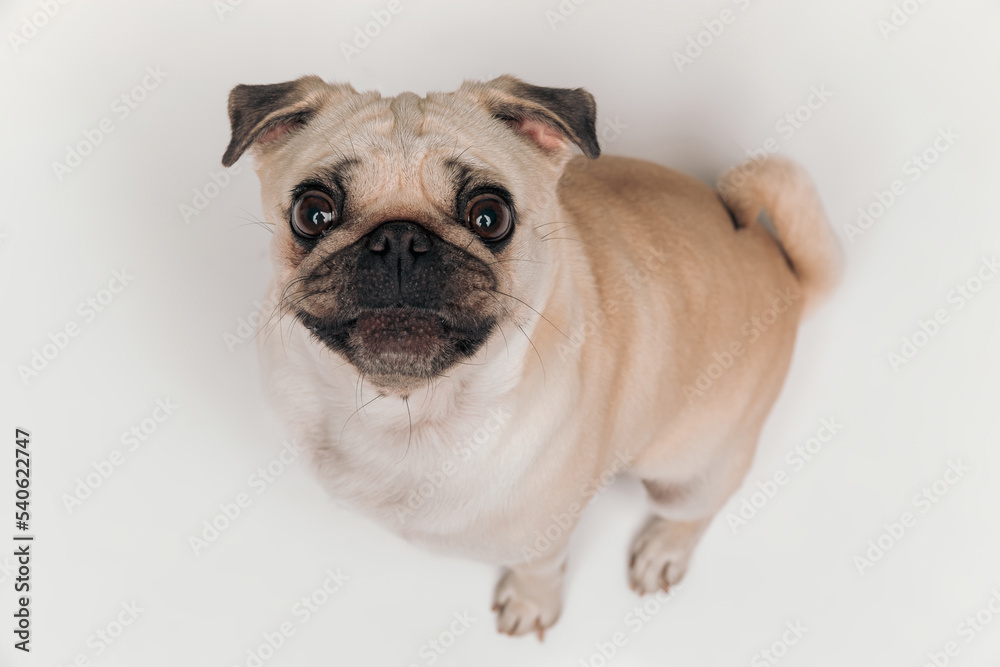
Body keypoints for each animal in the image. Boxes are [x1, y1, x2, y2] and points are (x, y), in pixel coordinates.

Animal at [223, 75, 840, 640]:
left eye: (489, 216)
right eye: (313, 213)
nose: (399, 240)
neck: (409, 413)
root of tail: (785, 272)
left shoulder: (544, 536)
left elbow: (540, 571)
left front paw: (530, 604)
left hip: (689, 468)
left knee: (692, 509)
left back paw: (663, 549)